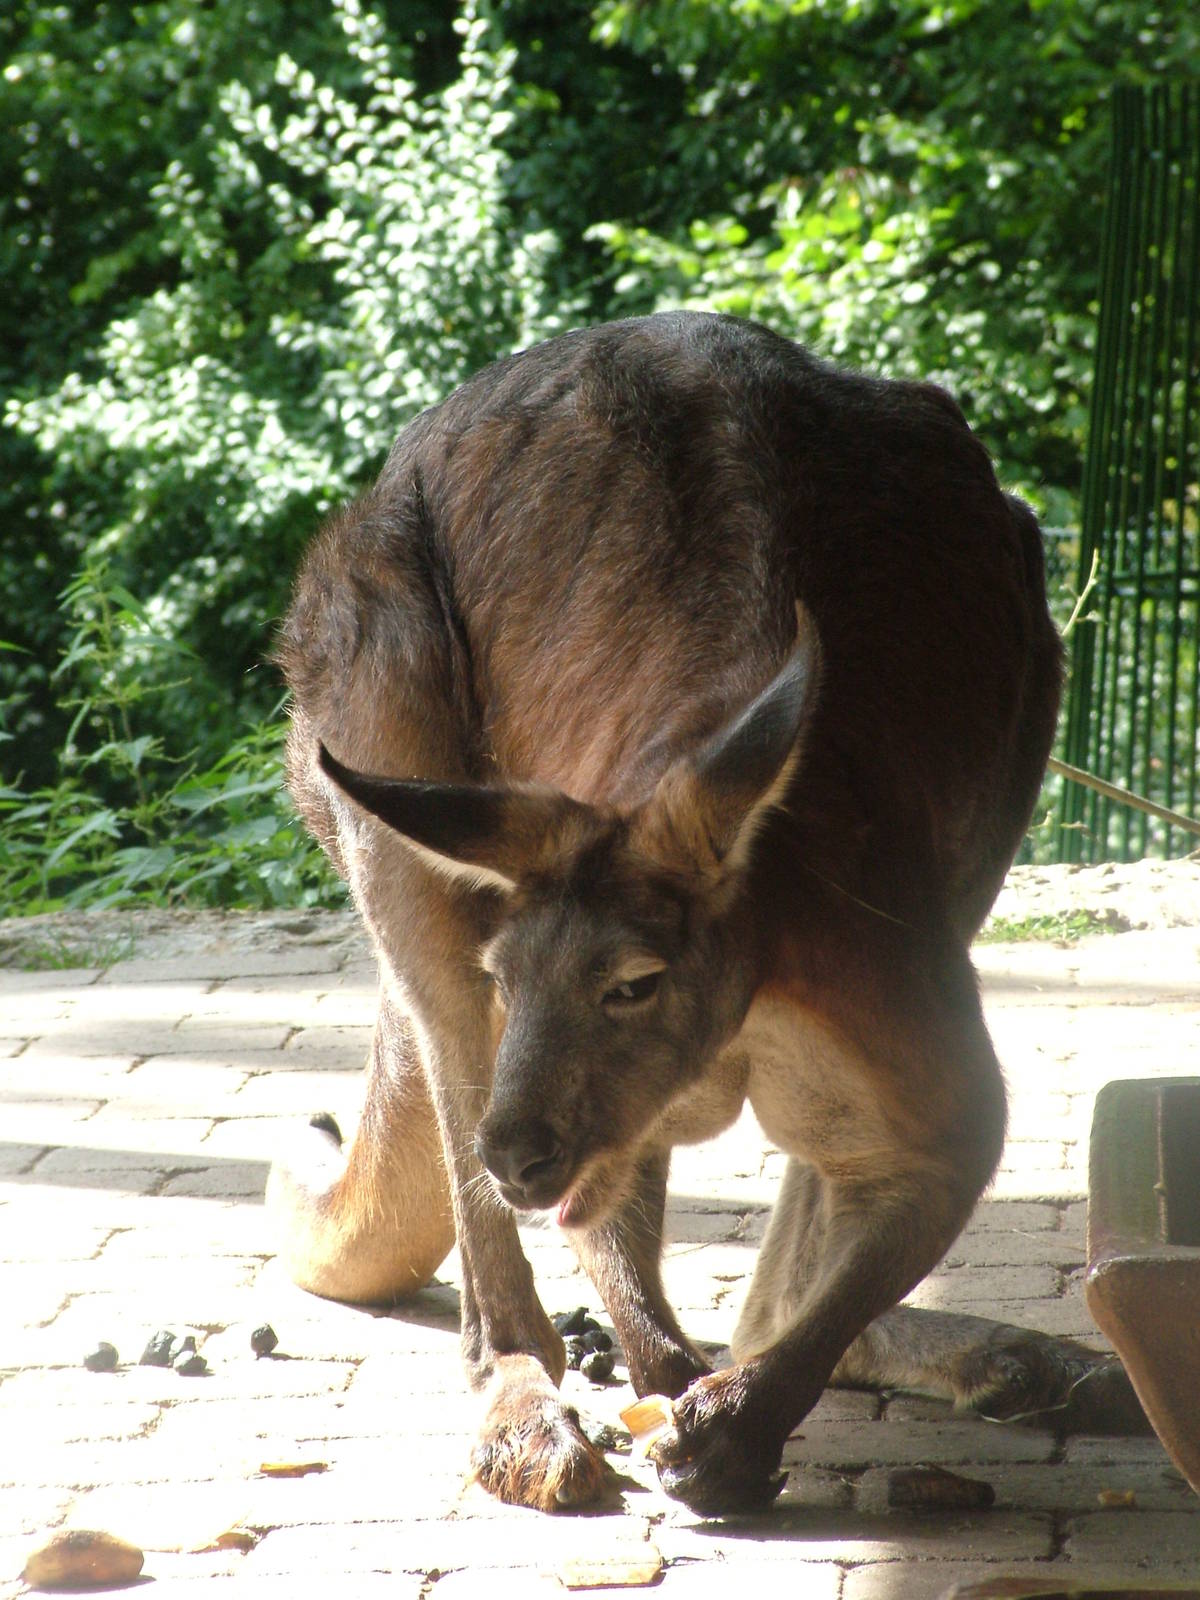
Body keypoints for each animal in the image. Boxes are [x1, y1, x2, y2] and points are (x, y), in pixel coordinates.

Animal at [268, 310, 1144, 1515]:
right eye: (509, 981)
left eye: (635, 984)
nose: (516, 1160)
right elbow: (601, 1217)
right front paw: (671, 1384)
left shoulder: (880, 993)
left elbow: (932, 1169)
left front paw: (728, 1419)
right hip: (375, 685)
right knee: (445, 1032)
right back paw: (534, 1418)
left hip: (1018, 678)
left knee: (778, 1276)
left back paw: (1015, 1367)